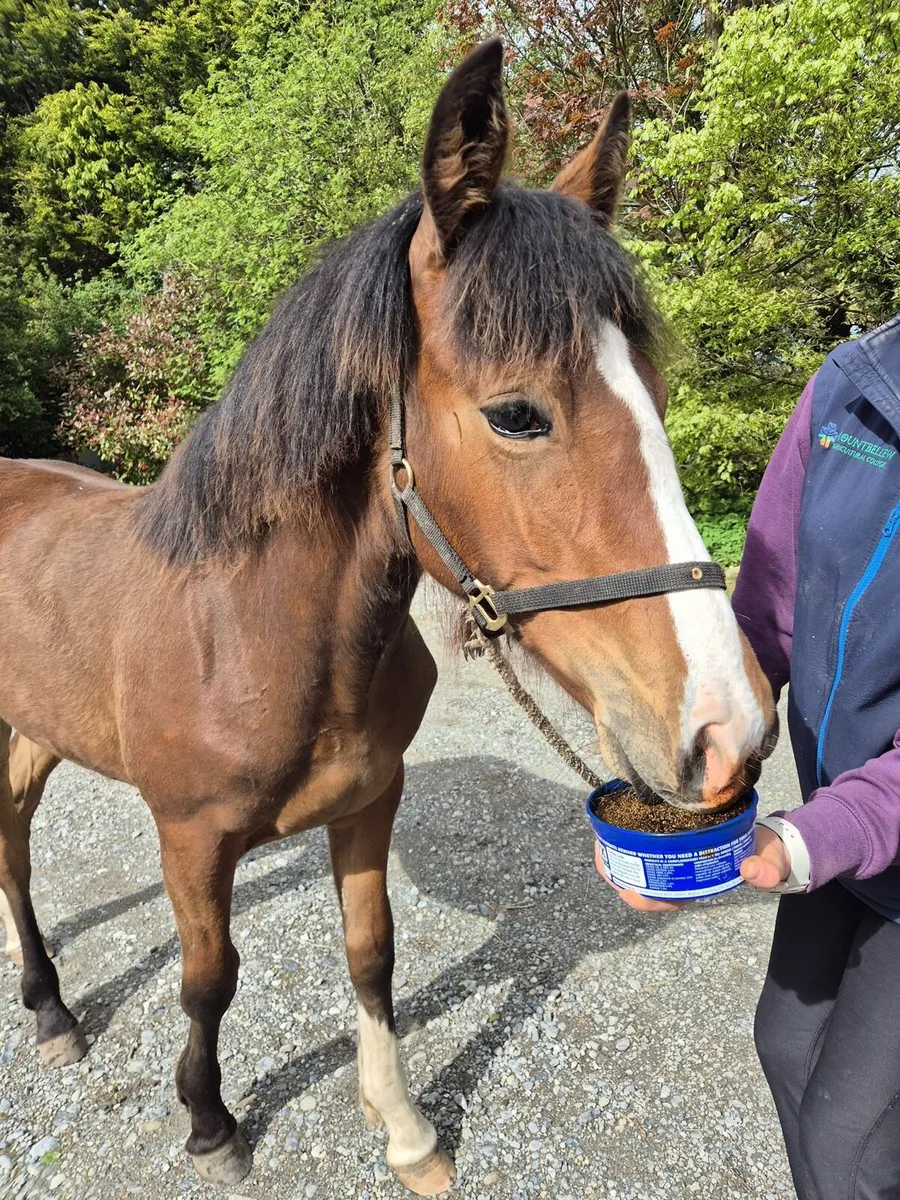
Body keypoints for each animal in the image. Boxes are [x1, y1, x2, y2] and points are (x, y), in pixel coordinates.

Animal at [0, 39, 775, 1196]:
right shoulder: (189, 839)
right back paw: (51, 1010)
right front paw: (210, 1123)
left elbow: (374, 955)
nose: (732, 728)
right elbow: (208, 980)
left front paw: (405, 1129)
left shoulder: (369, 804)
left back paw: (47, 1003)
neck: (258, 633)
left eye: (659, 395)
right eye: (516, 413)